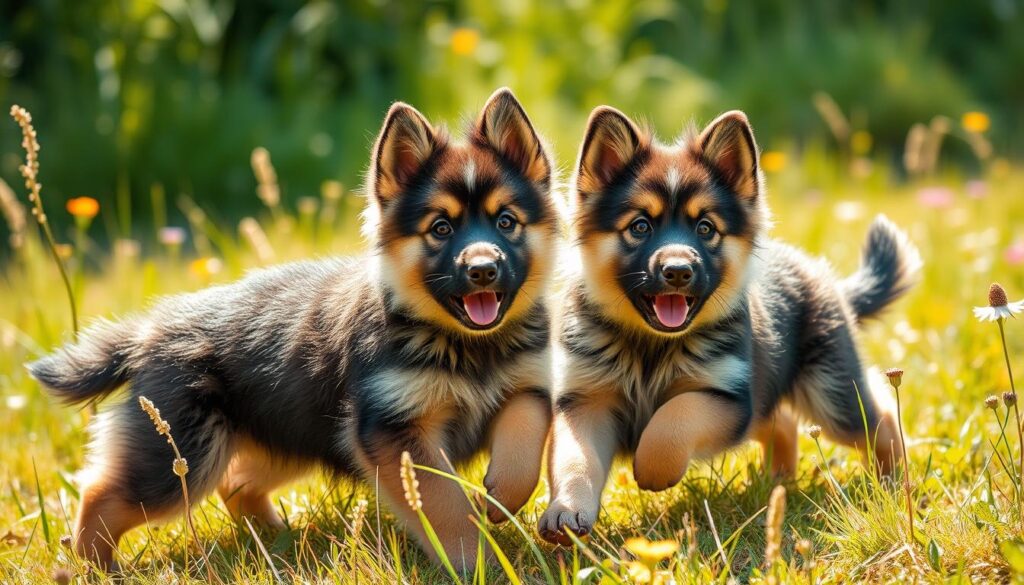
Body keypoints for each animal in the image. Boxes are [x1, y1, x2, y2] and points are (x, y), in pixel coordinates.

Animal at [29, 89, 561, 569]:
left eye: (506, 222)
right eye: (441, 229)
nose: (483, 271)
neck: (466, 345)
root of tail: (150, 331)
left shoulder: (528, 383)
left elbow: (526, 432)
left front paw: (499, 497)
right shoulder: (397, 430)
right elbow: (443, 504)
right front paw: (474, 563)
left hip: (283, 438)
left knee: (236, 484)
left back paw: (274, 539)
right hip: (182, 455)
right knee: (103, 495)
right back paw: (96, 566)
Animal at [536, 105, 921, 545]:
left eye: (706, 228)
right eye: (640, 226)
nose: (678, 272)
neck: (651, 346)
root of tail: (825, 278)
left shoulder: (726, 396)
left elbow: (672, 419)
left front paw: (652, 469)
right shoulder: (585, 400)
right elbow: (574, 459)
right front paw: (567, 511)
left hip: (831, 394)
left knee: (880, 420)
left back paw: (894, 481)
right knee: (783, 422)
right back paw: (778, 482)